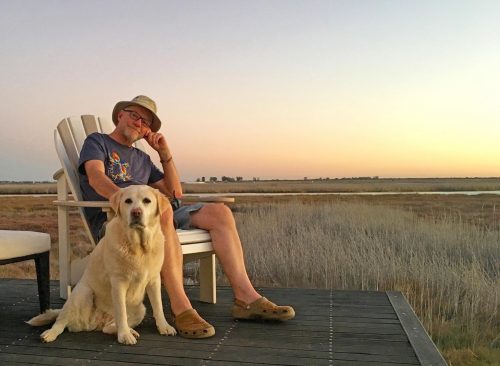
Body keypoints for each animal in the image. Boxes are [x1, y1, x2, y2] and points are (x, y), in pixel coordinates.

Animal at [27, 186, 176, 344]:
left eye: (147, 201)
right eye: (128, 201)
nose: (136, 212)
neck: (139, 247)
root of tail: (94, 323)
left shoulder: (154, 280)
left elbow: (158, 306)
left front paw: (164, 327)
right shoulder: (118, 282)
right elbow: (121, 311)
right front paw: (124, 335)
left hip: (140, 309)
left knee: (108, 327)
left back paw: (128, 330)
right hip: (82, 292)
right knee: (61, 322)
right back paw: (50, 334)